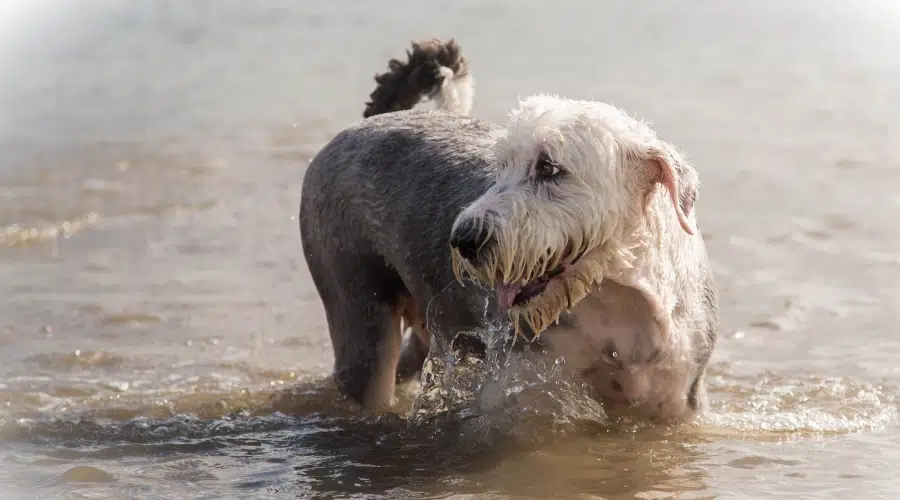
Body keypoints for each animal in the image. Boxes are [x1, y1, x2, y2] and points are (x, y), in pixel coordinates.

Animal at [298, 40, 720, 422]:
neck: (620, 299)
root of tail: (372, 121)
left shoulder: (677, 398)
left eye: (549, 167)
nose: (463, 239)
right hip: (357, 306)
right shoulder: (529, 385)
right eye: (500, 167)